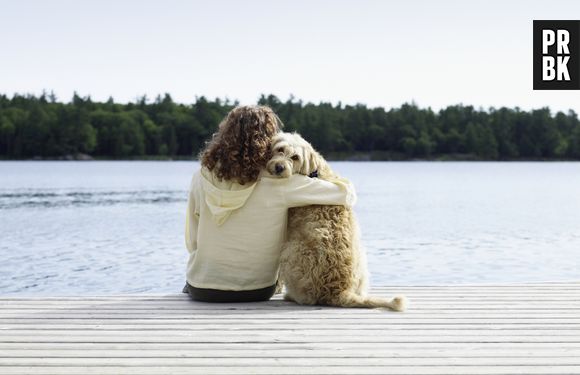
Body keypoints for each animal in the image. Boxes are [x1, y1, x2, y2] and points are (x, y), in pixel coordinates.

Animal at [266, 132, 406, 312]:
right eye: (280, 149)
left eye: (295, 157)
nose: (279, 167)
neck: (313, 172)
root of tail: (338, 290)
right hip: (362, 259)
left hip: (291, 250)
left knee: (307, 297)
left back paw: (291, 296)